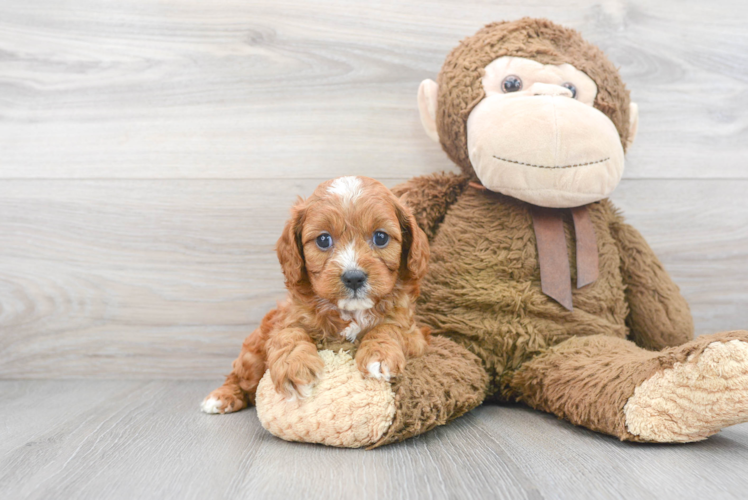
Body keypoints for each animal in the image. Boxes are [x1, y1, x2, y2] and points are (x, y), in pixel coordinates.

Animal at [202, 176, 430, 414]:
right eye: (323, 240)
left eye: (381, 237)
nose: (354, 277)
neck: (351, 312)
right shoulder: (285, 321)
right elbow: (288, 334)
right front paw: (295, 368)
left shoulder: (415, 336)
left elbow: (389, 328)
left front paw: (378, 354)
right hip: (253, 353)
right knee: (241, 376)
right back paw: (222, 396)